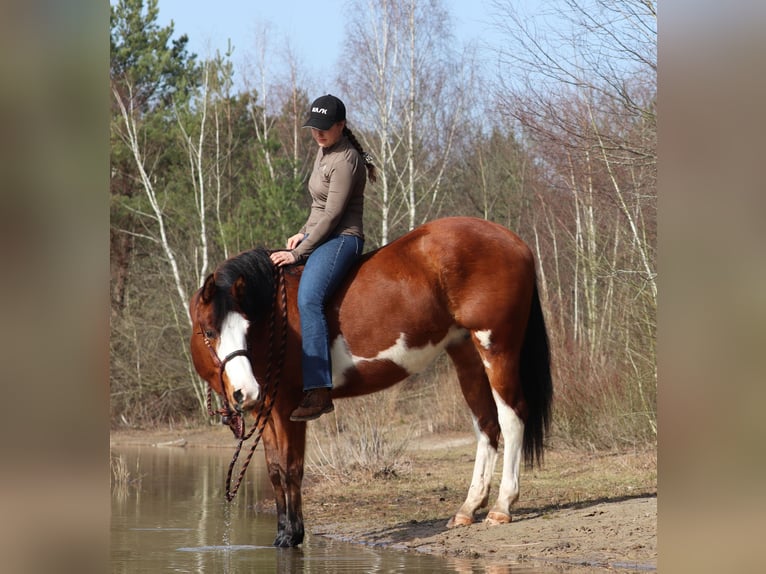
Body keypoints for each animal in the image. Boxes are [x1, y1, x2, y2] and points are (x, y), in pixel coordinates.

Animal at [189, 216, 553, 548]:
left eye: (246, 329)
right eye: (209, 332)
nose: (245, 391)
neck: (274, 316)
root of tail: (513, 241)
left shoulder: (287, 408)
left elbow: (291, 468)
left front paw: (292, 536)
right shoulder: (266, 409)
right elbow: (276, 470)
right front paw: (284, 535)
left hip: (497, 348)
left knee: (512, 418)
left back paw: (502, 507)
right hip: (467, 355)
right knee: (486, 424)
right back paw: (468, 508)